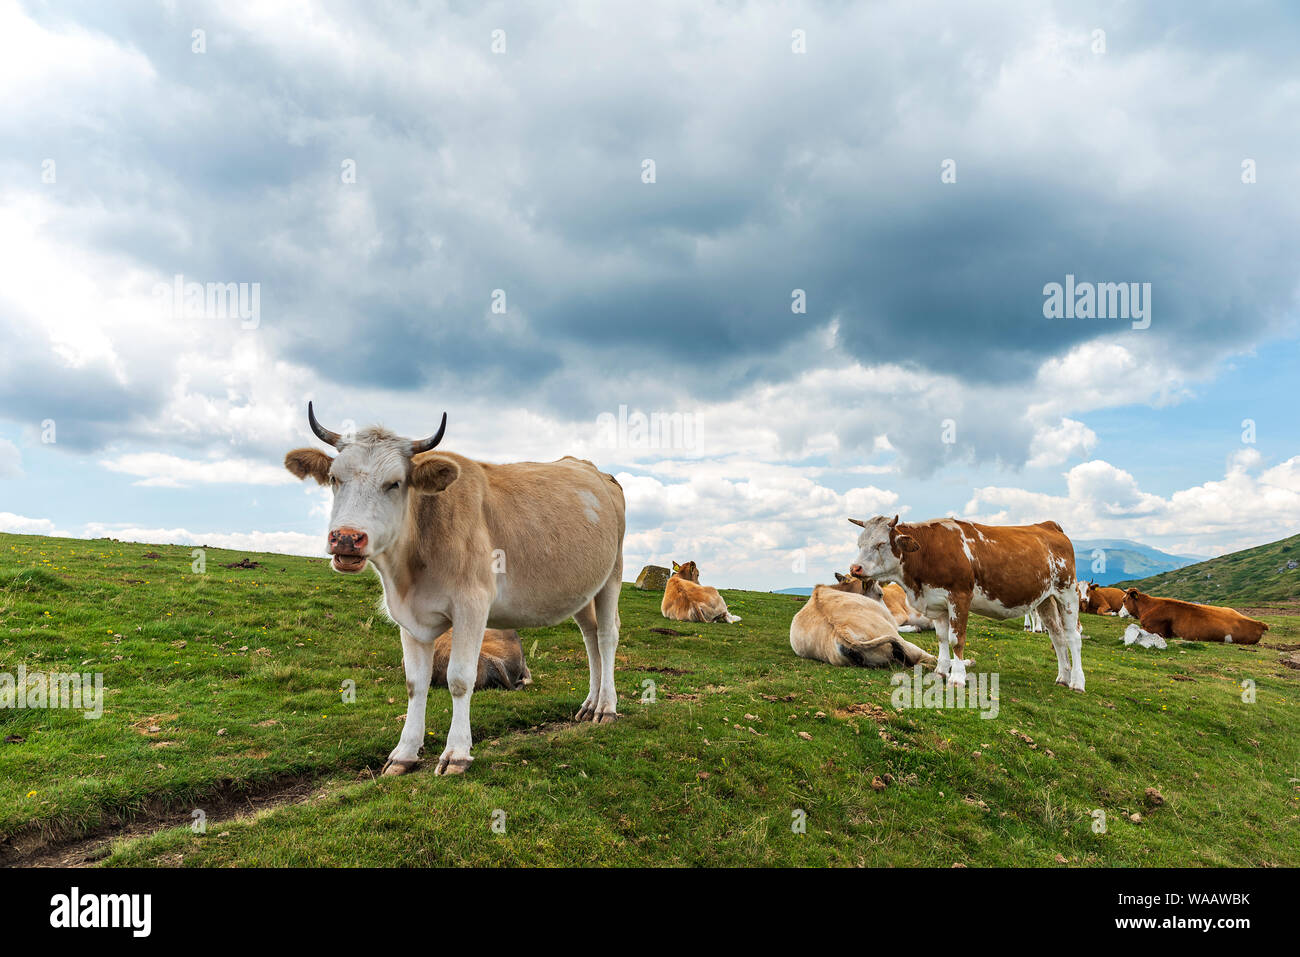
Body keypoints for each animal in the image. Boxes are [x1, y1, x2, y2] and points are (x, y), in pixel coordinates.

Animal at [284, 403, 625, 776]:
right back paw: (590, 705)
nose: (346, 538)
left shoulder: (472, 606)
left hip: (612, 574)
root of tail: (590, 468)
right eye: (334, 478)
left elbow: (460, 679)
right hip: (584, 588)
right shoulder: (409, 618)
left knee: (606, 636)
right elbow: (414, 683)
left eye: (395, 483)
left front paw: (457, 753)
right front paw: (404, 753)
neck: (409, 572)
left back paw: (606, 708)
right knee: (590, 637)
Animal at [850, 515, 1084, 691]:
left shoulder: (960, 597)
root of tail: (1048, 525)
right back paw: (1063, 677)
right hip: (1046, 599)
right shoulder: (937, 602)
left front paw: (957, 678)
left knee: (1073, 637)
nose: (855, 568)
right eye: (860, 544)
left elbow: (956, 640)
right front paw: (941, 671)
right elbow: (942, 638)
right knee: (1057, 636)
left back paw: (1077, 682)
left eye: (880, 544)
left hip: (1068, 592)